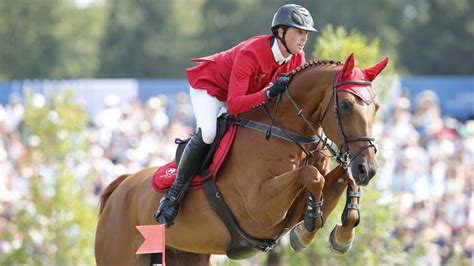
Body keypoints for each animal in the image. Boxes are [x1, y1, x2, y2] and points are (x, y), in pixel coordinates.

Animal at [94, 53, 386, 264]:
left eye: (376, 107)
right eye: (346, 105)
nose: (368, 169)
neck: (286, 131)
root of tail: (120, 186)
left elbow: (339, 178)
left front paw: (343, 235)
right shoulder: (260, 208)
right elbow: (311, 176)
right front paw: (305, 234)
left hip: (186, 254)